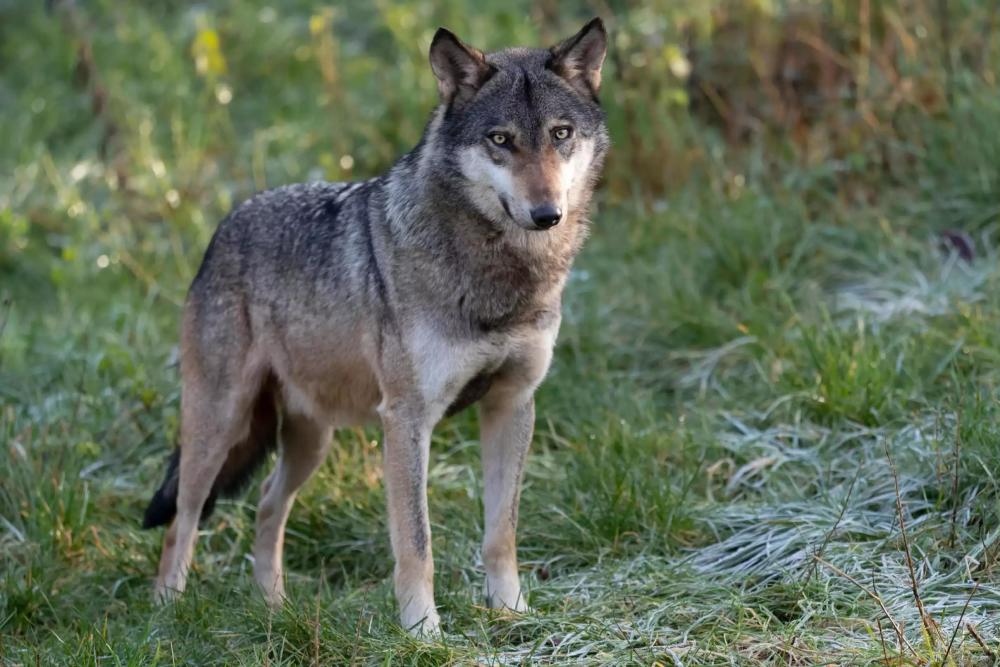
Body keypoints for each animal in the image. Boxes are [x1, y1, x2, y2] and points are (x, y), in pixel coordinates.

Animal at [141, 17, 608, 636]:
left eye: (560, 133)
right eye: (501, 140)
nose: (547, 214)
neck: (499, 276)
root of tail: (223, 227)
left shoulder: (512, 404)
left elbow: (501, 533)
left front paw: (512, 614)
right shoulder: (407, 419)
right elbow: (417, 544)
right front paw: (423, 633)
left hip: (308, 441)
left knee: (266, 504)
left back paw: (273, 608)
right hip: (219, 427)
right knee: (183, 519)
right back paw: (166, 614)